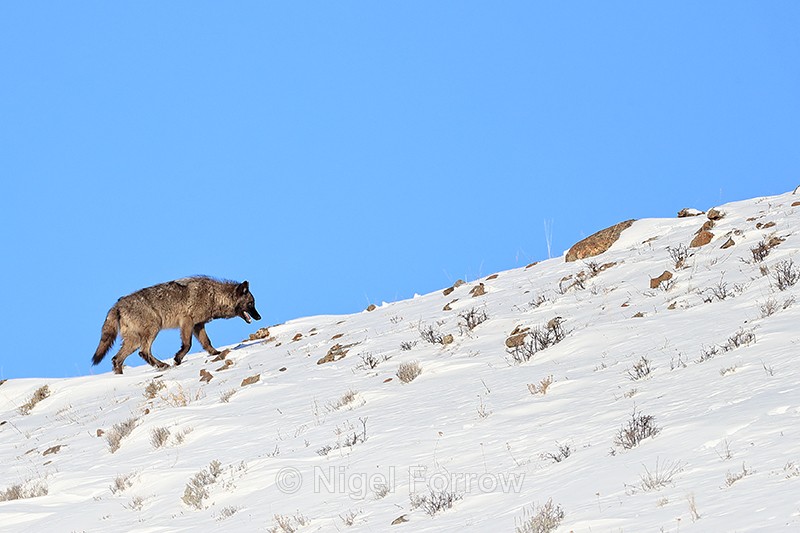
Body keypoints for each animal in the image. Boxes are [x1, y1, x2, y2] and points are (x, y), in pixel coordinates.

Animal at [92, 276, 261, 374]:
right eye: (251, 304)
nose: (259, 317)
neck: (213, 295)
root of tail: (116, 305)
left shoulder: (198, 325)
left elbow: (207, 342)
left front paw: (216, 353)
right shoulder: (187, 322)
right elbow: (187, 345)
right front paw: (177, 359)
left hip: (133, 341)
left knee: (117, 359)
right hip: (153, 329)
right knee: (143, 352)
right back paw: (162, 365)